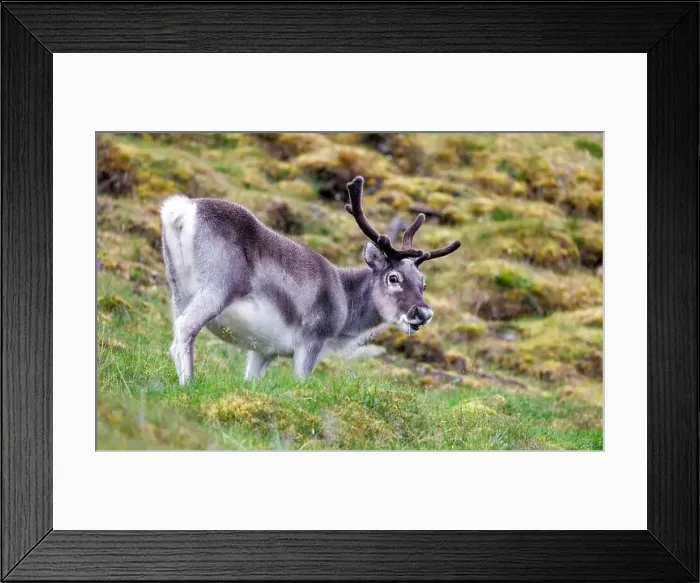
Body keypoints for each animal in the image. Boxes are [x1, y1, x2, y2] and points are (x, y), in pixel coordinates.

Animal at [160, 175, 461, 385]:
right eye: (394, 278)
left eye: (423, 282)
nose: (423, 312)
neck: (346, 304)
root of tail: (182, 210)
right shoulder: (312, 339)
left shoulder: (264, 349)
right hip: (217, 288)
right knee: (185, 330)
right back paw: (189, 383)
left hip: (177, 288)